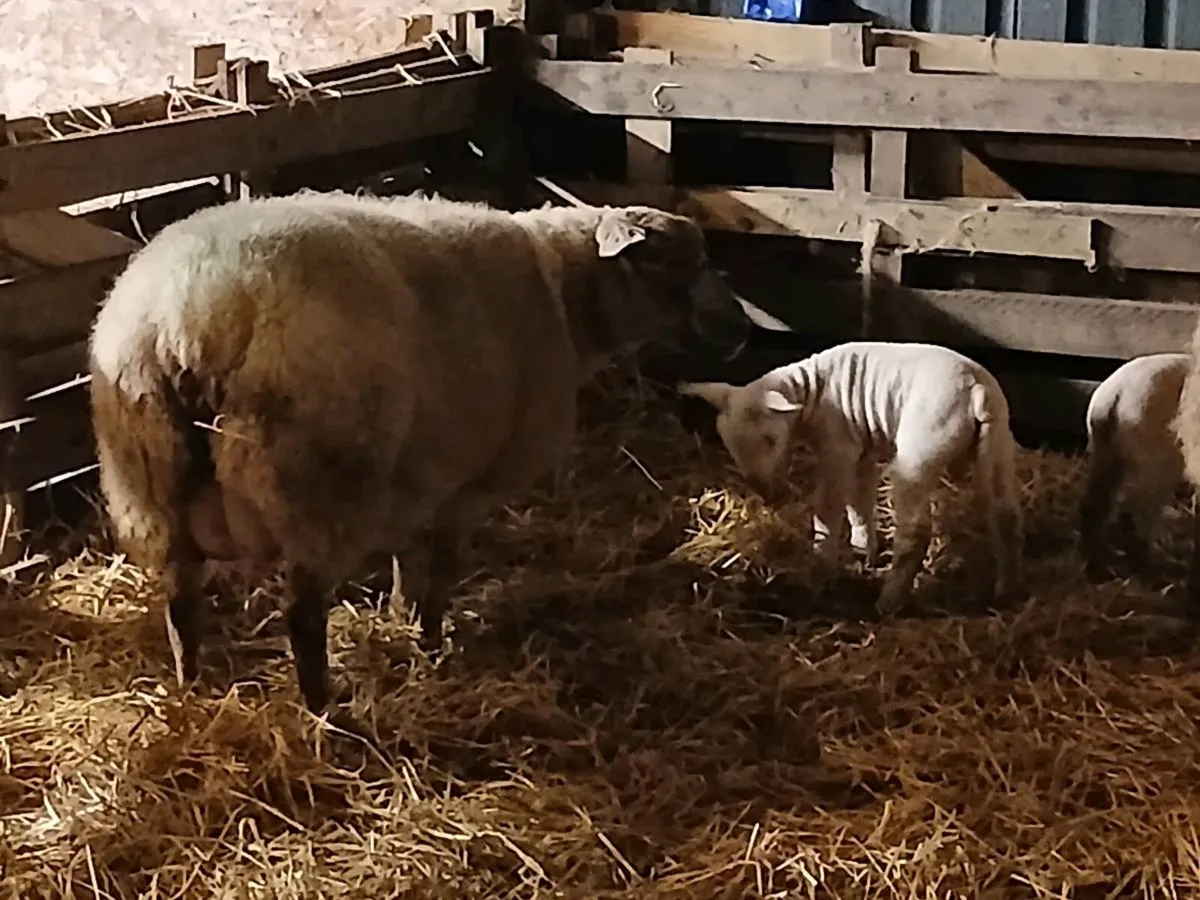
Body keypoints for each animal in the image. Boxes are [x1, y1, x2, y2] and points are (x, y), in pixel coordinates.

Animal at [88, 189, 752, 713]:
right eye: (679, 263)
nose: (743, 331)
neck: (564, 294)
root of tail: (188, 318)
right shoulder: (469, 483)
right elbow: (441, 572)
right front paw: (432, 643)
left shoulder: (419, 474)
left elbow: (407, 563)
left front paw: (403, 621)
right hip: (316, 484)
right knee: (302, 617)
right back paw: (323, 709)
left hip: (150, 481)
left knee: (181, 604)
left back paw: (190, 689)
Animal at [679, 341, 1024, 614]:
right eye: (729, 444)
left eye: (770, 441)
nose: (764, 491)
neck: (810, 394)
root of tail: (976, 390)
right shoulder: (863, 448)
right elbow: (860, 501)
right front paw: (863, 550)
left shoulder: (838, 445)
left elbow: (828, 506)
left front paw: (821, 562)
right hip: (999, 443)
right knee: (1004, 515)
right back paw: (1005, 590)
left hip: (922, 448)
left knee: (916, 531)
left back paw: (888, 601)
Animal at [1079, 352, 1189, 579]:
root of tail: (1115, 395)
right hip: (1156, 462)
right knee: (1136, 515)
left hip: (1106, 452)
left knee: (1095, 506)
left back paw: (1098, 566)